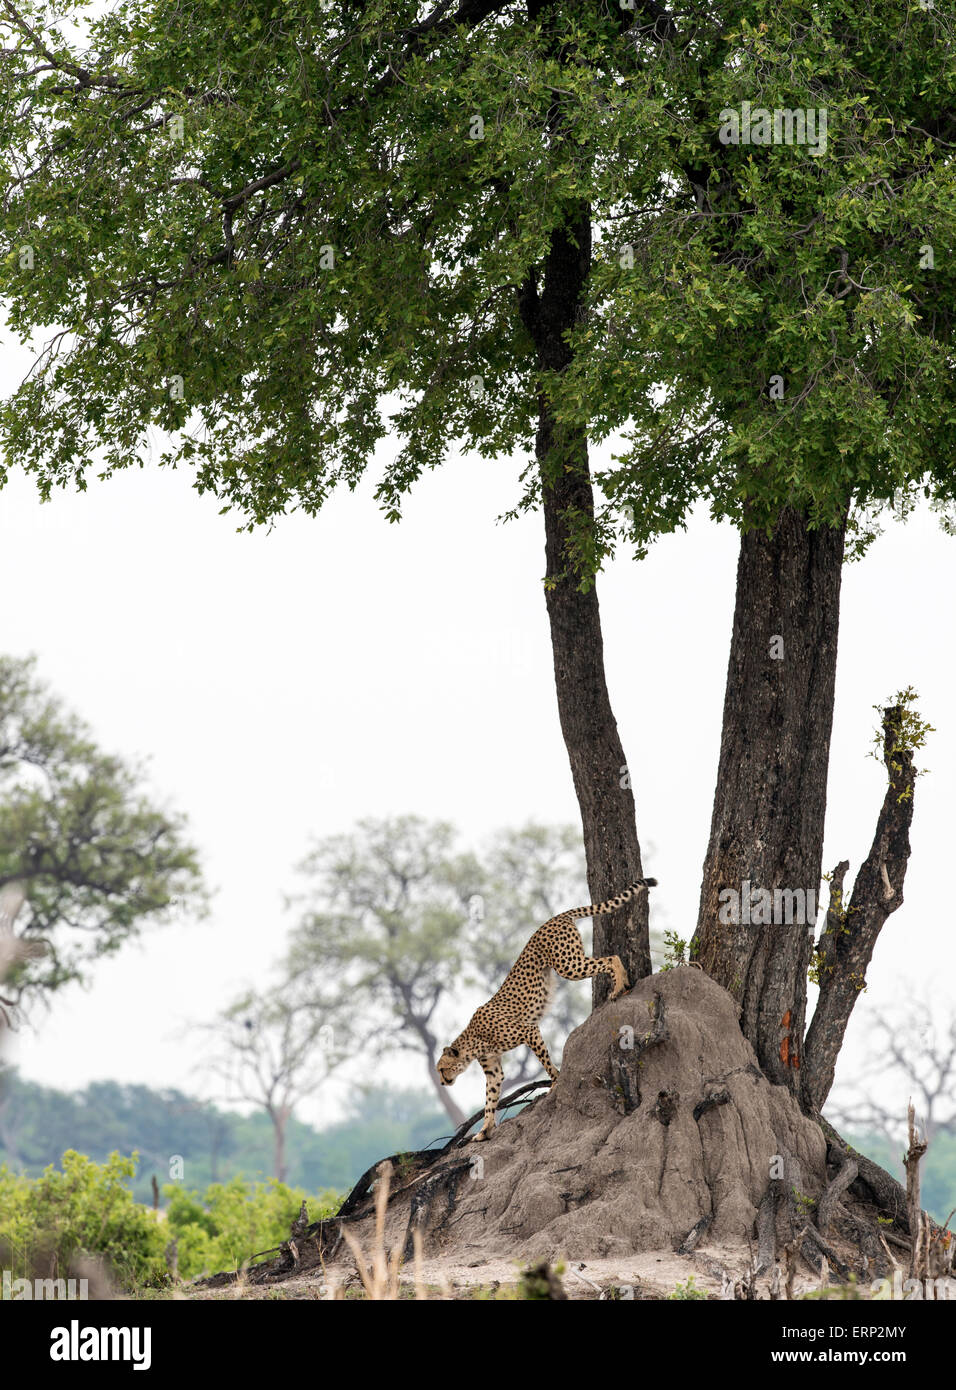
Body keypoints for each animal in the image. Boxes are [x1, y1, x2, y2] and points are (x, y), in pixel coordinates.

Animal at [436, 878, 653, 1139]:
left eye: (442, 1068)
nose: (442, 1082)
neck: (472, 1042)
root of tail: (555, 917)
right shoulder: (493, 1069)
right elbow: (490, 1098)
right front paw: (485, 1130)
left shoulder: (528, 1031)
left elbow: (545, 1062)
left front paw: (556, 1082)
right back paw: (623, 984)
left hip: (568, 964)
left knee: (611, 958)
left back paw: (618, 987)